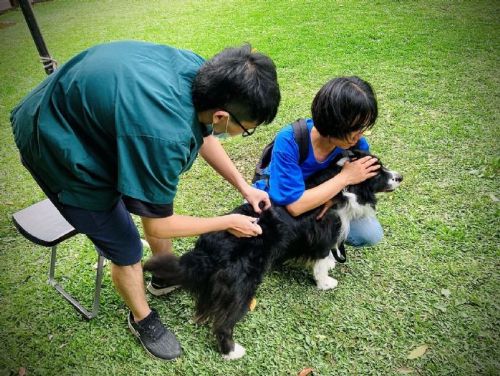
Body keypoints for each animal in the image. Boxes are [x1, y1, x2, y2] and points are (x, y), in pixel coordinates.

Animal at [145, 151, 402, 360]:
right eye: (378, 171)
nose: (400, 177)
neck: (342, 185)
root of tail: (209, 247)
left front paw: (330, 264)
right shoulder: (325, 229)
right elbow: (321, 257)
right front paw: (325, 281)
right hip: (243, 281)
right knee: (224, 321)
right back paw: (232, 351)